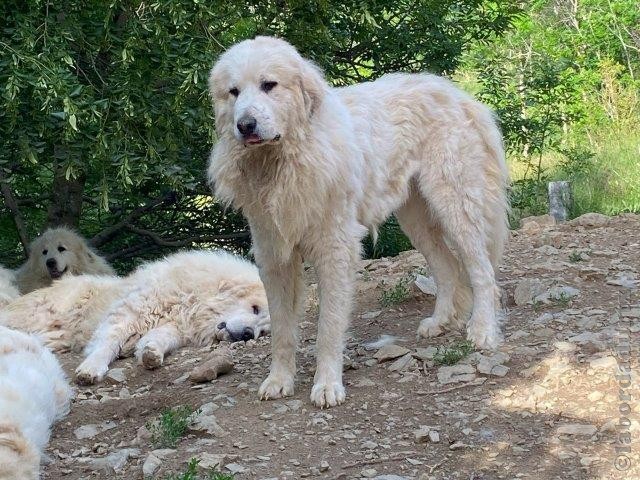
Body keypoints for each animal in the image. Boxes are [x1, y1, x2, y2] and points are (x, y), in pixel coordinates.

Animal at [208, 35, 508, 406]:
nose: (245, 125)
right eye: (233, 92)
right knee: (448, 268)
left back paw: (482, 331)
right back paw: (439, 322)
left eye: (269, 85)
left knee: (482, 272)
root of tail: (457, 93)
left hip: (455, 205)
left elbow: (328, 327)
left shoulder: (335, 249)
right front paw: (279, 380)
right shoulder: (274, 256)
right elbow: (281, 330)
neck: (286, 160)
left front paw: (326, 385)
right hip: (416, 220)